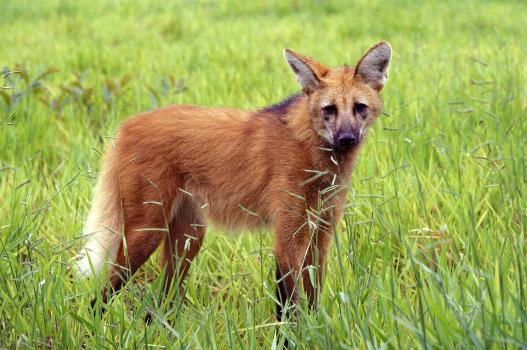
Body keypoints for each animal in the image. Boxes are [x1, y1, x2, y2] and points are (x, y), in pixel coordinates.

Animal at [77, 41, 392, 320]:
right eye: (329, 110)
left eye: (359, 107)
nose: (347, 139)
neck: (313, 149)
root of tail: (127, 124)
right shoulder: (288, 232)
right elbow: (289, 304)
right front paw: (291, 338)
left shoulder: (321, 231)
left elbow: (311, 296)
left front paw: (315, 331)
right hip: (146, 233)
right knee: (101, 296)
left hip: (188, 238)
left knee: (159, 300)